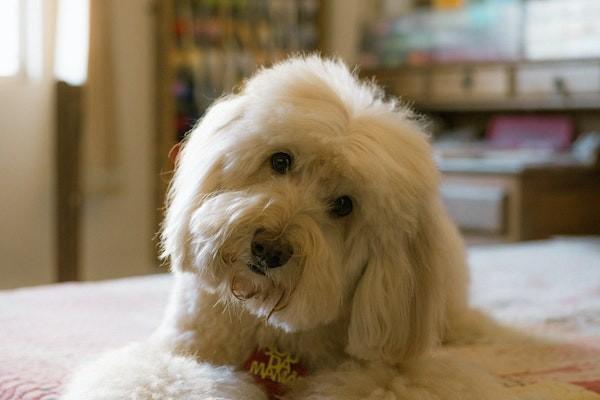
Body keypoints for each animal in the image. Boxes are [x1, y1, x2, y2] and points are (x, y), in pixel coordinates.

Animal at [63, 56, 511, 399]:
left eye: (344, 205)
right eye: (280, 160)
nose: (268, 249)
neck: (266, 324)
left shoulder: (391, 370)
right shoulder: (176, 351)